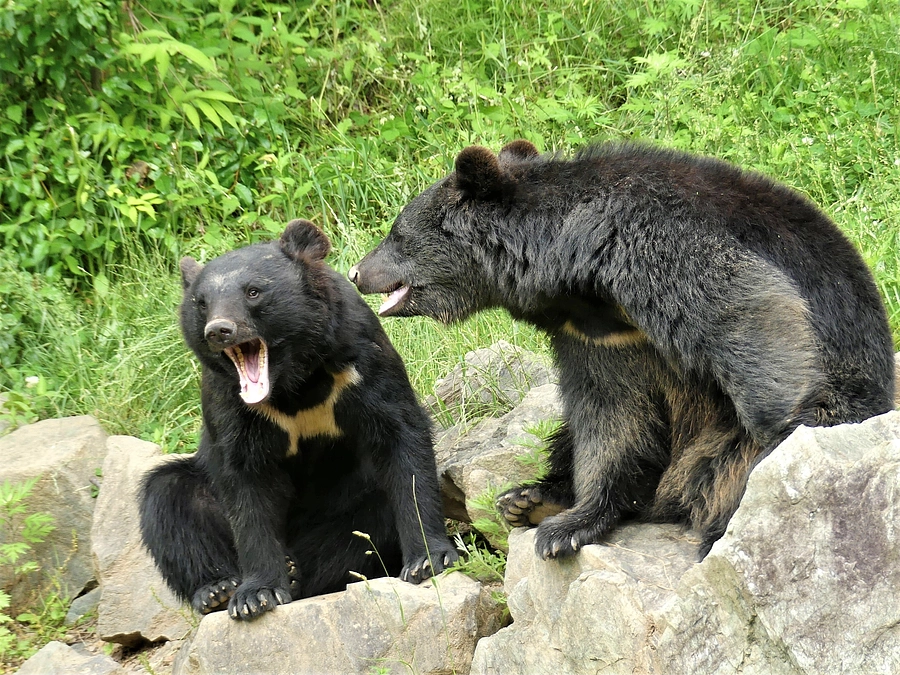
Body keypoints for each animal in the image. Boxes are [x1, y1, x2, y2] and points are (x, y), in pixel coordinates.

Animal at [144, 219, 460, 620]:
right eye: (201, 303)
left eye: (253, 292)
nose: (219, 330)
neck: (293, 383)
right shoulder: (227, 398)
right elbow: (244, 483)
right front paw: (256, 595)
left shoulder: (360, 357)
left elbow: (401, 442)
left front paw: (429, 560)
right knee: (169, 498)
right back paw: (217, 589)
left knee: (357, 530)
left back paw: (296, 573)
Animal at [348, 141, 896, 560]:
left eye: (396, 234)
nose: (355, 272)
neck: (581, 279)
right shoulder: (597, 338)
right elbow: (609, 415)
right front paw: (568, 523)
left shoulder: (656, 239)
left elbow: (749, 307)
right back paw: (529, 499)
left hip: (809, 411)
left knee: (729, 466)